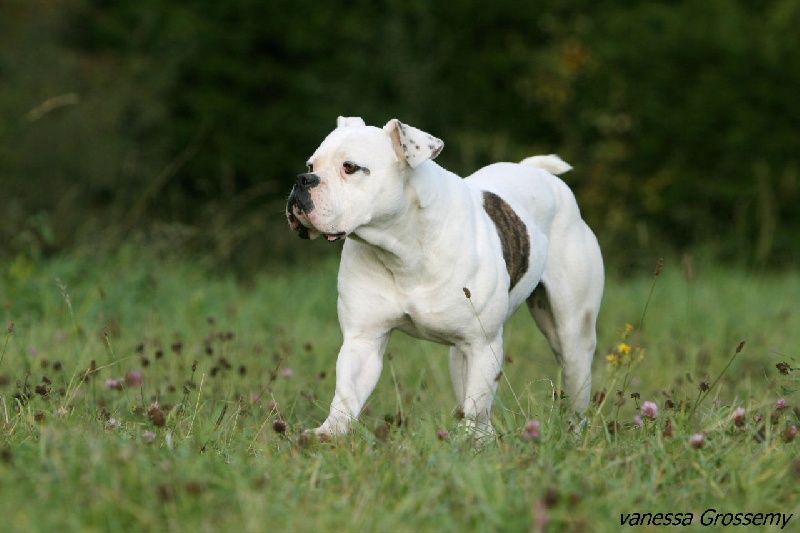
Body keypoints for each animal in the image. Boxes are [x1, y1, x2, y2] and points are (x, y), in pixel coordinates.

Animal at [284, 117, 604, 436]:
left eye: (350, 167)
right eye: (311, 165)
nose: (302, 179)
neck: (403, 247)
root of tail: (538, 172)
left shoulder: (482, 343)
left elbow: (476, 405)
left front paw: (468, 442)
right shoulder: (363, 339)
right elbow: (347, 394)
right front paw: (328, 434)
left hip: (572, 338)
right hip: (460, 355)